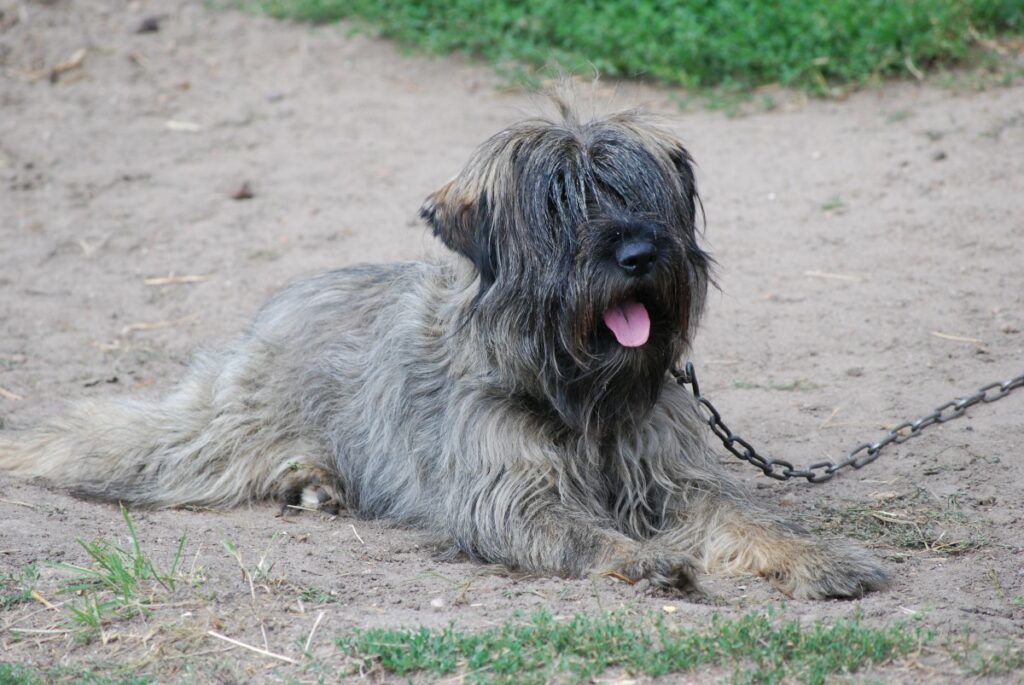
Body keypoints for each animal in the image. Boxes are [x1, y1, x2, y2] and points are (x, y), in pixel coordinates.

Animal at [0, 104, 884, 593]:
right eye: (561, 204)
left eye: (644, 193)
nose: (639, 253)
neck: (580, 395)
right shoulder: (508, 496)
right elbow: (584, 532)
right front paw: (640, 558)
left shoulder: (676, 481)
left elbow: (745, 518)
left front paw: (818, 558)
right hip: (209, 433)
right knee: (120, 441)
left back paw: (315, 484)